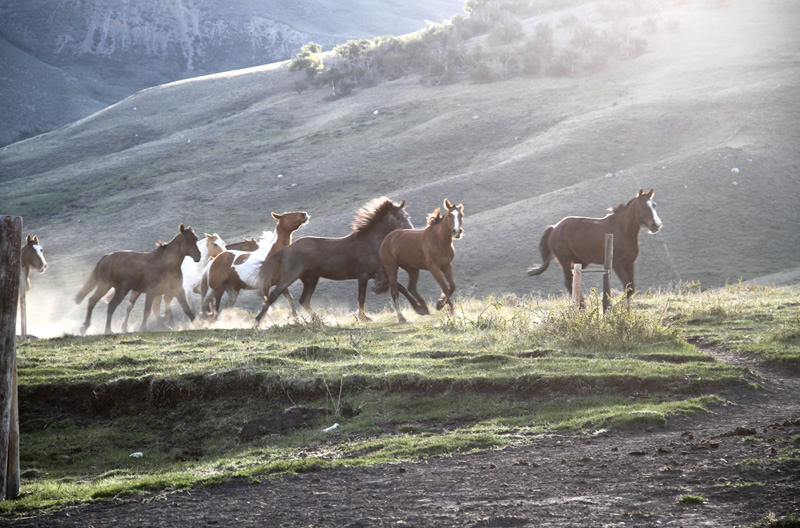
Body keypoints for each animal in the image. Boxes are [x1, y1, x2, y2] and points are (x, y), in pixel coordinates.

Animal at [255, 196, 424, 324]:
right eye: (398, 217)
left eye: (407, 215)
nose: (411, 231)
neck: (369, 243)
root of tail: (288, 249)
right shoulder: (363, 276)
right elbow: (361, 297)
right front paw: (364, 318)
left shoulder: (377, 274)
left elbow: (400, 288)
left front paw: (419, 309)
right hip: (290, 276)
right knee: (274, 295)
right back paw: (257, 322)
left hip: (311, 279)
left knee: (304, 300)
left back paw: (319, 320)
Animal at [524, 189, 664, 306]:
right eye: (642, 206)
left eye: (654, 205)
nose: (657, 225)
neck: (623, 230)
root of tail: (554, 228)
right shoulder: (617, 265)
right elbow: (627, 288)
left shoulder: (630, 264)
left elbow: (630, 288)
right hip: (564, 260)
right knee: (569, 282)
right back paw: (581, 306)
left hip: (580, 262)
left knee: (574, 281)